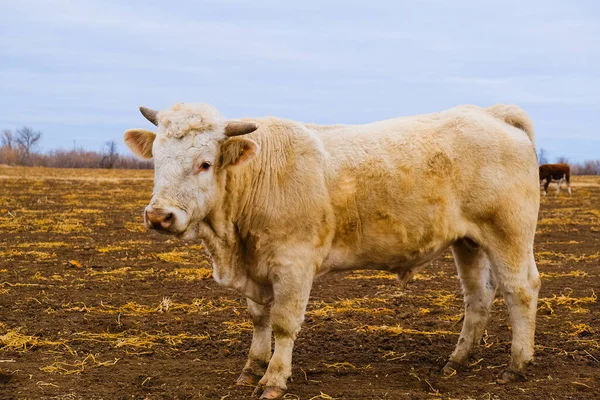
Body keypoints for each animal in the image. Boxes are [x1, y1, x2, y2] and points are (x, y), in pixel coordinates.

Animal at [124, 102, 540, 396]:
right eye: (157, 160)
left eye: (205, 163)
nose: (159, 216)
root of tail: (491, 113)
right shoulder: (256, 269)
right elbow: (259, 319)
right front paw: (251, 368)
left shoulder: (293, 264)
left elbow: (283, 323)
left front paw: (273, 379)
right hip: (468, 242)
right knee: (478, 297)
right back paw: (458, 360)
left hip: (509, 235)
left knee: (520, 290)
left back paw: (517, 365)